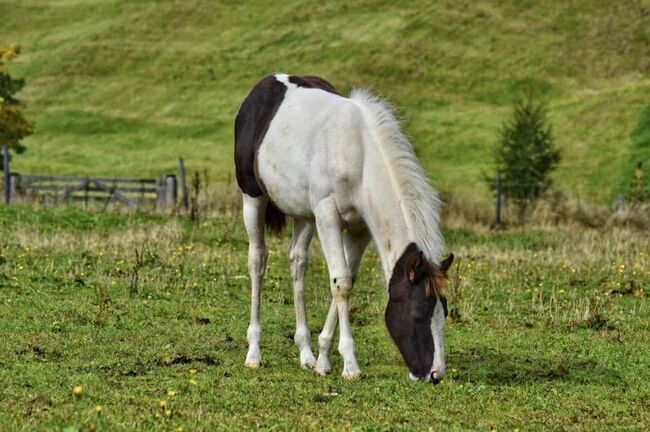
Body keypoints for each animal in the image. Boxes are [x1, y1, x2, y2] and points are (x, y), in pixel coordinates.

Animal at [235, 73, 454, 382]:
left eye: (443, 311)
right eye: (417, 313)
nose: (435, 374)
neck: (359, 155)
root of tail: (266, 84)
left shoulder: (360, 228)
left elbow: (346, 279)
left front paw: (323, 360)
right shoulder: (327, 216)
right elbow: (341, 283)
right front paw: (350, 365)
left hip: (304, 214)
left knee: (297, 263)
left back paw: (306, 354)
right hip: (252, 198)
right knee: (258, 260)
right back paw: (254, 352)